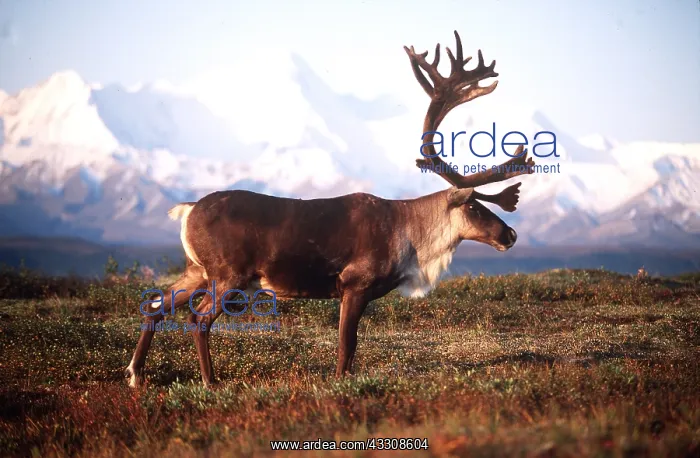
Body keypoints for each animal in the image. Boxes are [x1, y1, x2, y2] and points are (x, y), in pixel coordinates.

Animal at [125, 30, 535, 388]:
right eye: (473, 206)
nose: (510, 233)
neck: (412, 240)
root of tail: (188, 210)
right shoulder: (354, 285)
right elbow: (346, 347)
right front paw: (340, 384)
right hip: (228, 275)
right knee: (197, 318)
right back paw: (210, 382)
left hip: (196, 270)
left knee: (156, 305)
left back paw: (135, 376)